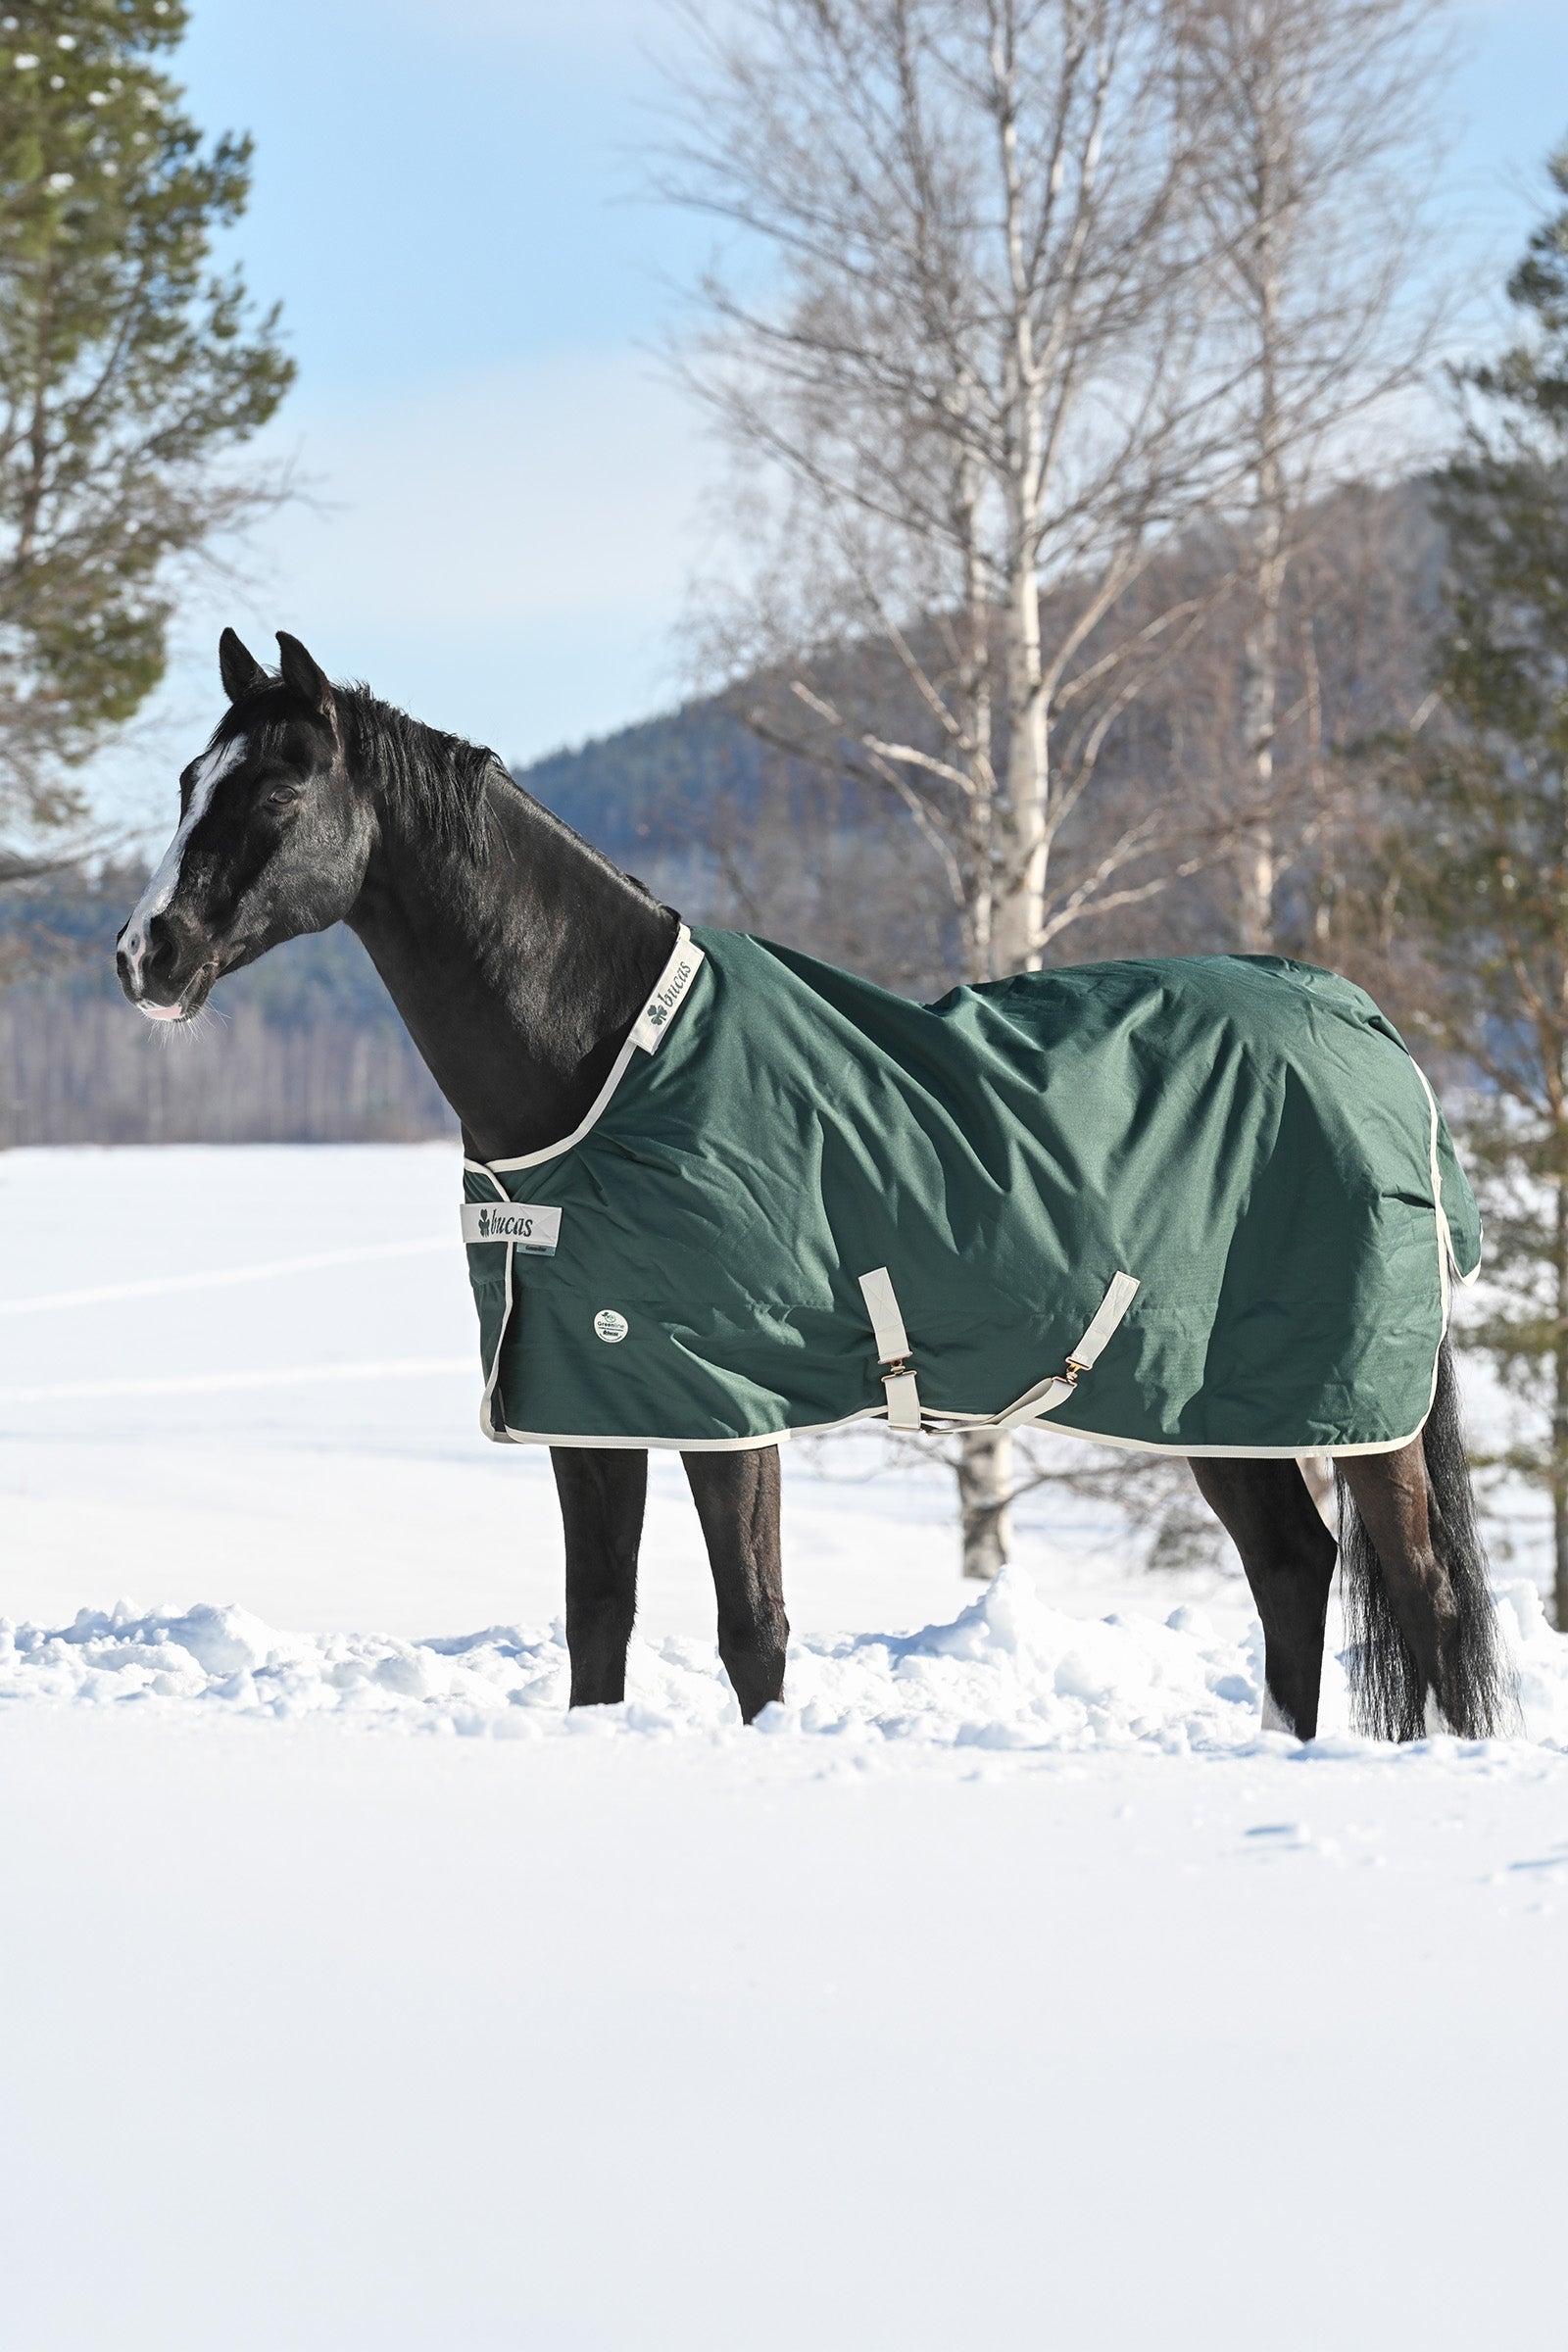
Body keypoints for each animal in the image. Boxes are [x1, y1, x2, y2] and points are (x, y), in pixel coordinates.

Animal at [115, 629, 1513, 1744]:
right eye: (189, 781)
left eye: (278, 786)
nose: (146, 955)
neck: (608, 1056)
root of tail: (1366, 1023)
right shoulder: (588, 1399)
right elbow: (597, 1624)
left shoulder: (726, 1403)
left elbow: (754, 1627)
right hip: (1214, 1397)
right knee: (1292, 1566)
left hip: (1351, 1399)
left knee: (1421, 1591)